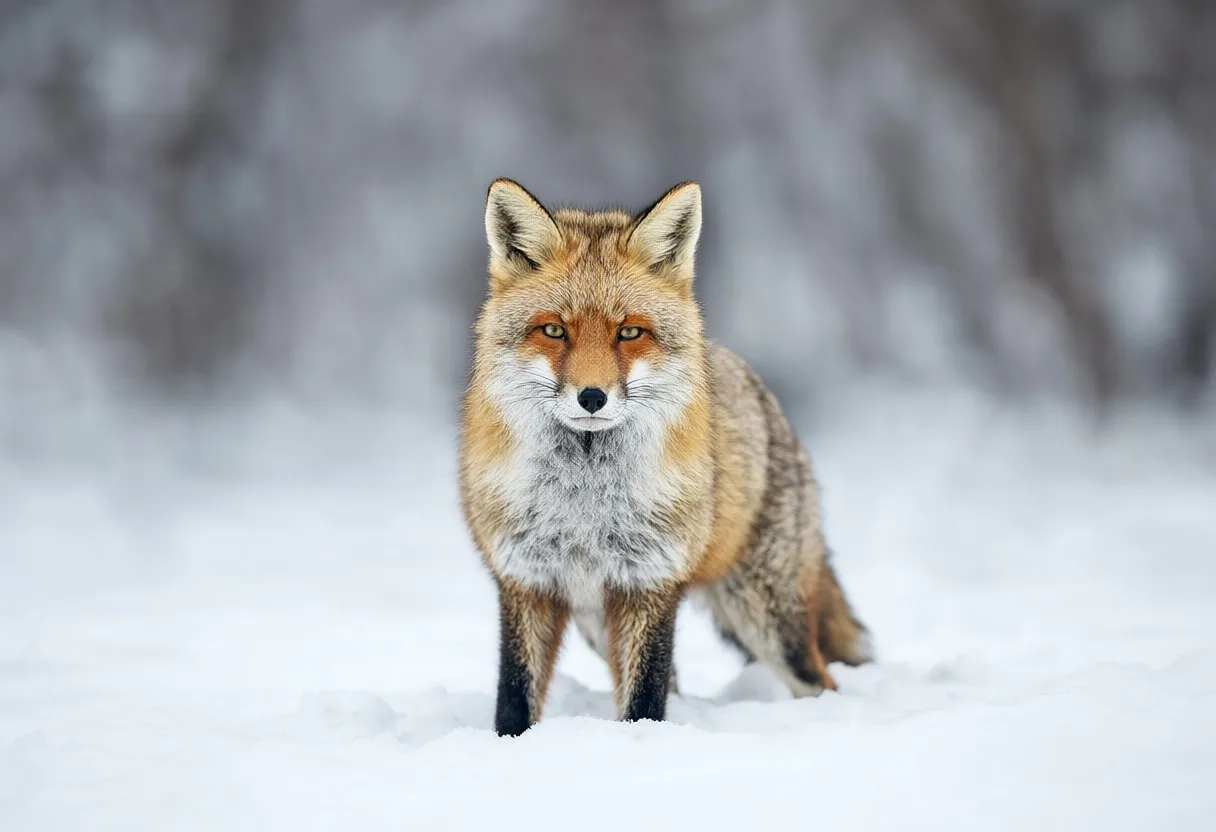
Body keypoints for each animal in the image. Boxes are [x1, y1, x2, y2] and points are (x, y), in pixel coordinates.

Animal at [458, 178, 872, 737]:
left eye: (629, 332)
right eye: (555, 331)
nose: (592, 397)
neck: (583, 505)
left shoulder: (651, 583)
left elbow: (644, 702)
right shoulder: (526, 582)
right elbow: (515, 700)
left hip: (768, 618)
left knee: (819, 679)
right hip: (598, 623)